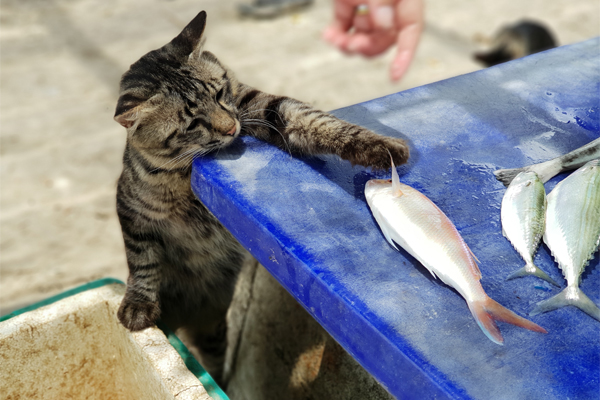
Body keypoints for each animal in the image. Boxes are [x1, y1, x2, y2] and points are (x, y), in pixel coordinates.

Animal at [115, 9, 410, 382]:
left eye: (221, 93)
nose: (231, 128)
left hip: (213, 329)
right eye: (192, 123)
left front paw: (377, 146)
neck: (187, 170)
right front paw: (138, 306)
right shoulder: (132, 213)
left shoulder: (261, 106)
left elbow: (317, 121)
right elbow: (142, 262)